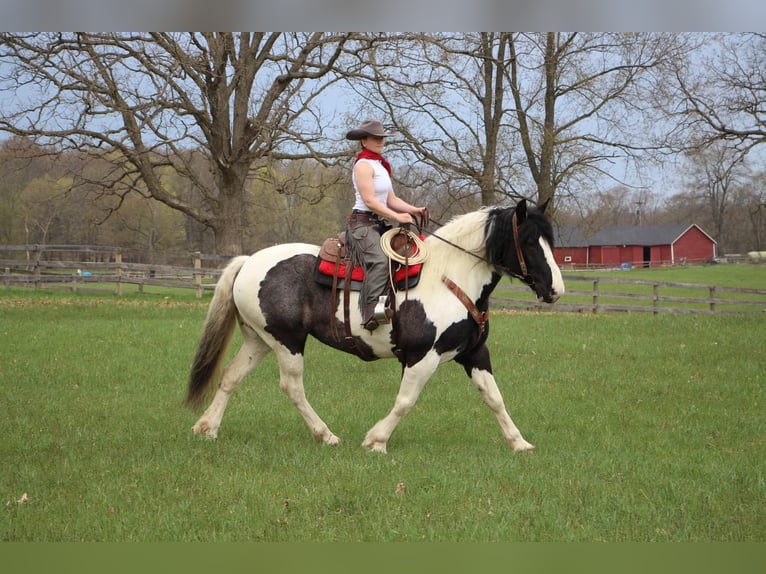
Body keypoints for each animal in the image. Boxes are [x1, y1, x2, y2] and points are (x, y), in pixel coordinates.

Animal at [184, 198, 568, 454]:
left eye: (550, 239)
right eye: (529, 240)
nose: (556, 290)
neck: (451, 278)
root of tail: (250, 261)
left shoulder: (474, 353)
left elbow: (494, 397)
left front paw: (519, 442)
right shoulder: (423, 356)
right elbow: (405, 400)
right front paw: (376, 440)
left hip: (260, 341)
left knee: (231, 377)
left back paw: (207, 428)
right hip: (287, 341)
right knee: (292, 387)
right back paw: (326, 435)